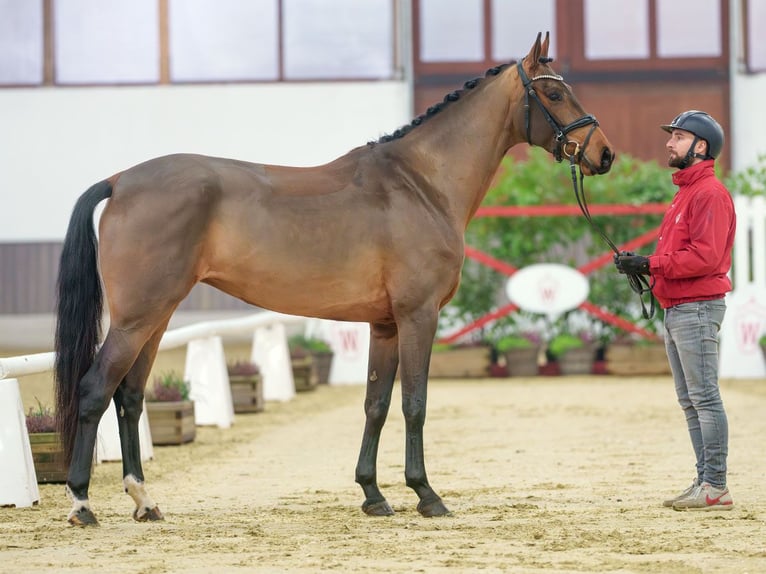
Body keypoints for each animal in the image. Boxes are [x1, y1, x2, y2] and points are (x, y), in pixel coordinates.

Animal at [54, 30, 616, 528]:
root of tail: (121, 180)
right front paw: (426, 495)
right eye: (553, 92)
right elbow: (414, 403)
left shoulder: (385, 325)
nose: (603, 154)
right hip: (136, 318)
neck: (420, 183)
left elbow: (376, 404)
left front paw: (373, 494)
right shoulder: (419, 316)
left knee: (129, 397)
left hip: (156, 317)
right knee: (95, 390)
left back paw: (144, 501)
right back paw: (81, 503)